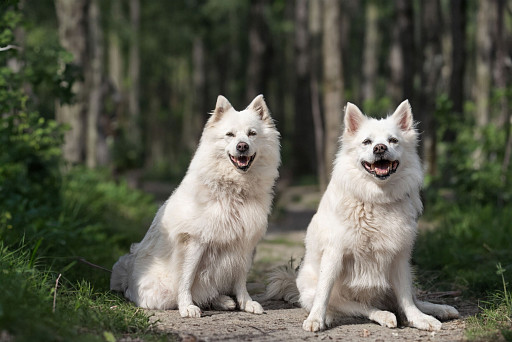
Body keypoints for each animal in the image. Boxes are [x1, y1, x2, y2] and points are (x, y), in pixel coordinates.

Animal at [111, 94, 280, 318]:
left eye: (252, 134)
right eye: (230, 135)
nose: (242, 146)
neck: (234, 191)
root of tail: (127, 277)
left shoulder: (245, 244)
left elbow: (240, 279)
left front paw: (246, 303)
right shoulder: (195, 241)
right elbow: (186, 279)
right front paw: (186, 307)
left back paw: (223, 300)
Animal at [266, 101, 458, 332]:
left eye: (393, 140)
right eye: (367, 142)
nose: (380, 148)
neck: (377, 198)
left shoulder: (399, 258)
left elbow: (406, 298)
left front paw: (419, 319)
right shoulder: (334, 254)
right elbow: (324, 294)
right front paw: (316, 319)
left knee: (407, 300)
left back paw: (438, 309)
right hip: (330, 291)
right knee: (360, 307)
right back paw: (376, 315)